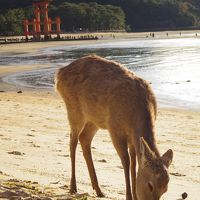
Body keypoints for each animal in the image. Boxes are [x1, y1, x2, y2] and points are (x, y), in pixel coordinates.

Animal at [55, 55, 173, 200]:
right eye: (150, 185)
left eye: (165, 189)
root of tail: (59, 74)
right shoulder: (114, 128)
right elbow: (126, 161)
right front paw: (129, 196)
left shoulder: (132, 136)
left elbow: (134, 161)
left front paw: (134, 194)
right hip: (74, 110)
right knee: (73, 140)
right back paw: (73, 187)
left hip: (95, 119)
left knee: (84, 138)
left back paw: (98, 190)